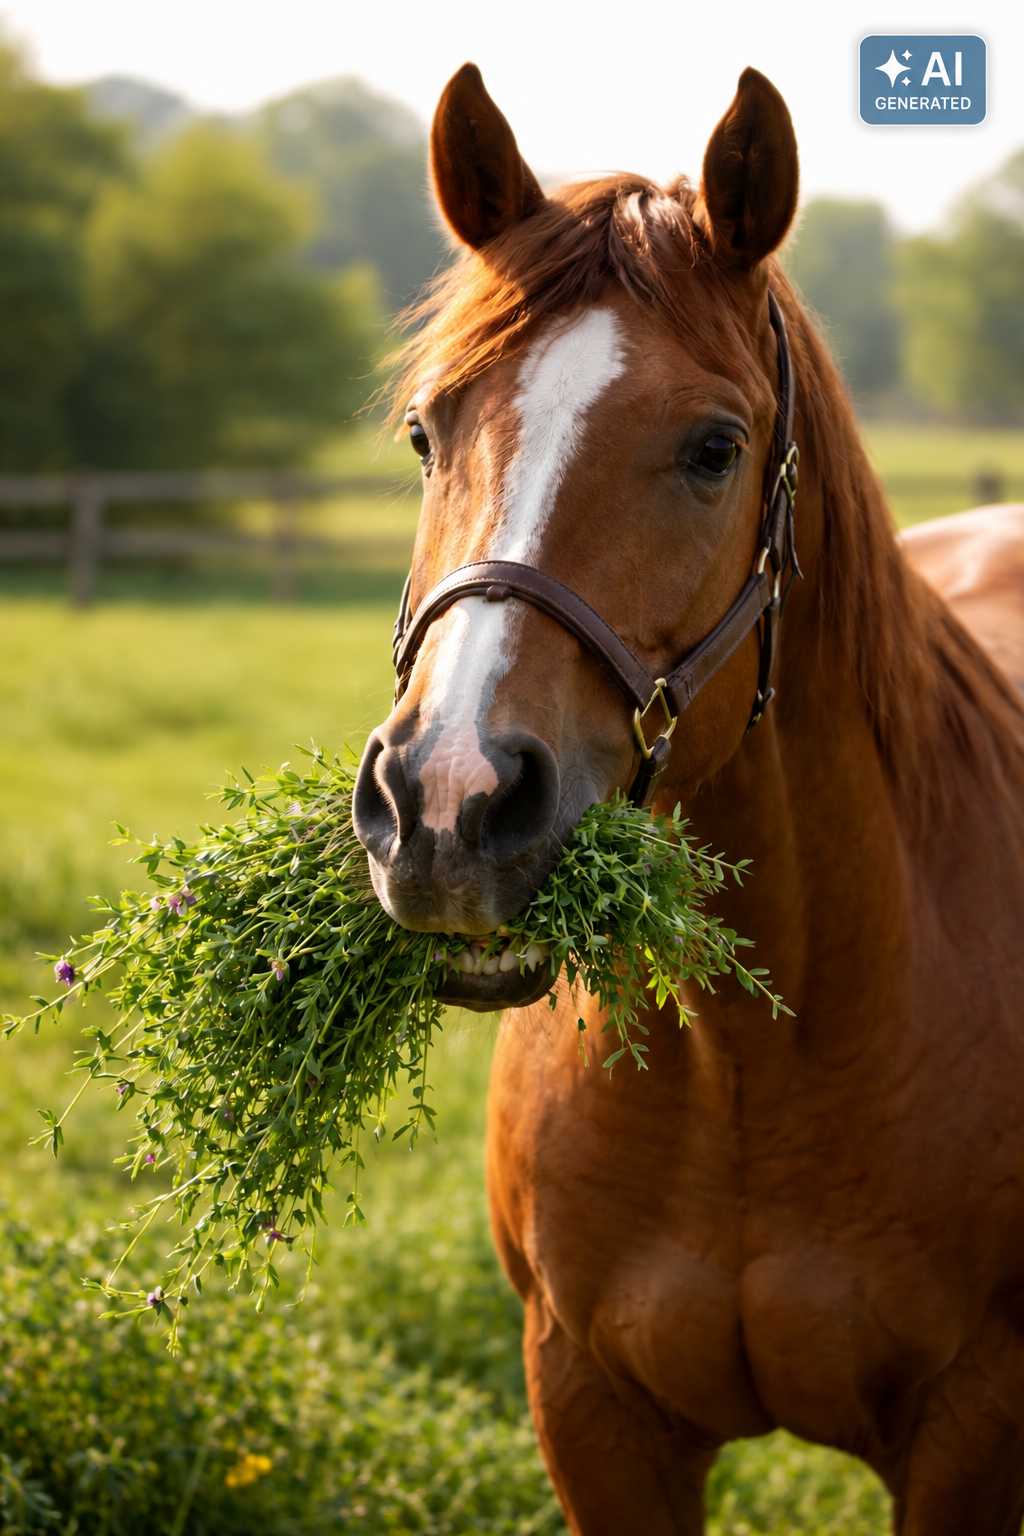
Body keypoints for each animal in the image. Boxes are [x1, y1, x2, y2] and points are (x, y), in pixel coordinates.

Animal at [353, 62, 1024, 1535]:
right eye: (427, 430)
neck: (751, 1062)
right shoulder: (594, 1414)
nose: (447, 802)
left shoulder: (972, 1433)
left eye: (714, 448)